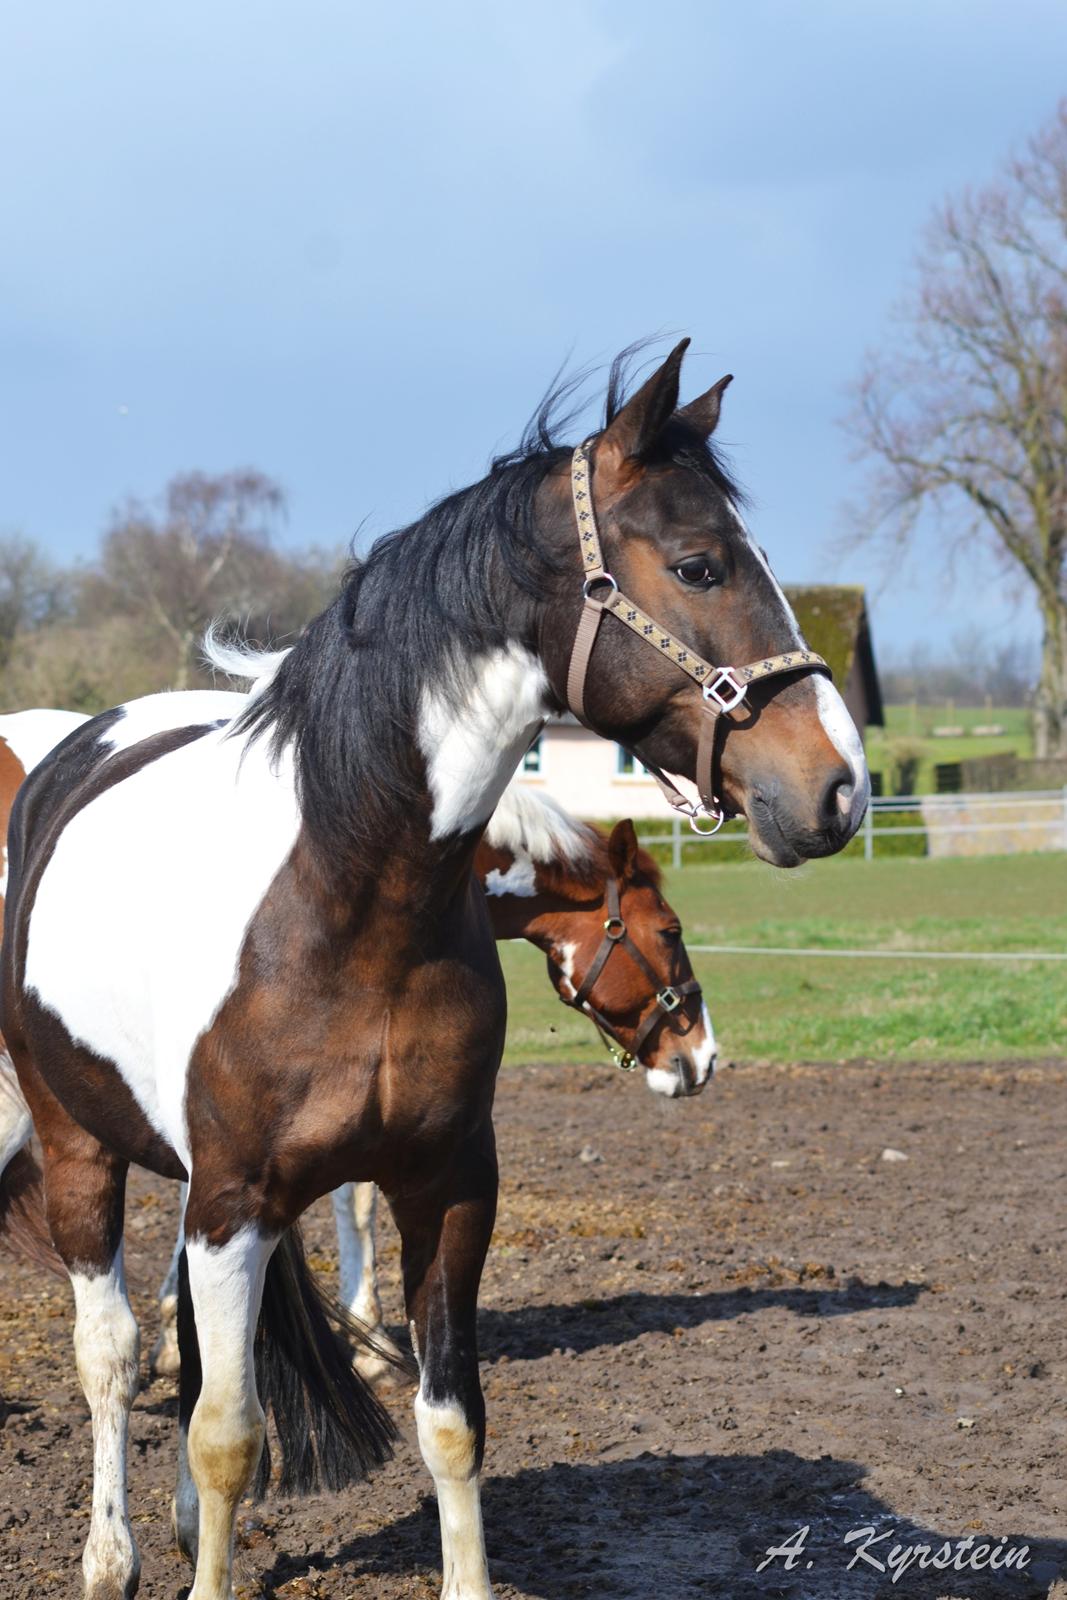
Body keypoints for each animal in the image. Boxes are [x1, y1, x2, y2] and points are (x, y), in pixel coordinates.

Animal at [0, 347, 870, 1600]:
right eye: (698, 563)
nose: (839, 789)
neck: (347, 899)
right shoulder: (231, 1202)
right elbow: (225, 1434)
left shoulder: (447, 1187)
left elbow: (447, 1420)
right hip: (79, 1144)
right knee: (113, 1356)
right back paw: (109, 1555)